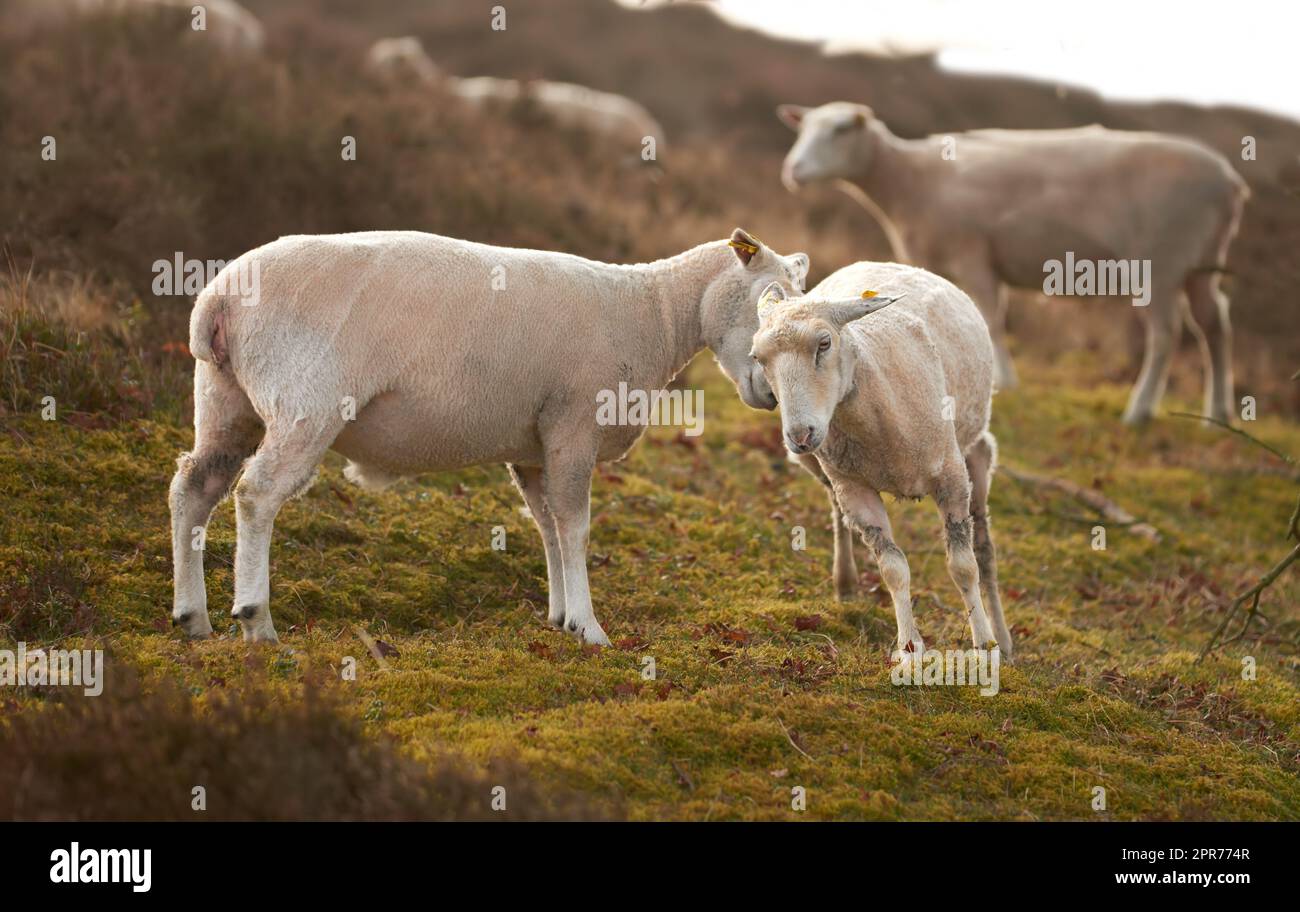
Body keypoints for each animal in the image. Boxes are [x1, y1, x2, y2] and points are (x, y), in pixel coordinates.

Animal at [169, 232, 806, 654]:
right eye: (770, 296)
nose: (771, 398)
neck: (652, 313)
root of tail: (217, 299)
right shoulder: (574, 424)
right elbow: (575, 528)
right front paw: (590, 628)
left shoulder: (533, 445)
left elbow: (547, 527)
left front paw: (561, 616)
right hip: (306, 402)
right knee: (257, 494)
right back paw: (256, 619)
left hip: (225, 400)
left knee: (194, 487)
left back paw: (192, 615)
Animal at [754, 261, 1013, 670]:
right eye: (758, 359)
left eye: (824, 343)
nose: (799, 434)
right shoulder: (854, 489)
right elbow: (893, 570)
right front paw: (909, 650)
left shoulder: (951, 478)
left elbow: (963, 566)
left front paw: (984, 647)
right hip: (822, 467)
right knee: (837, 513)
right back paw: (845, 582)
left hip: (974, 452)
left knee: (985, 550)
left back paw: (1002, 638)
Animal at [769, 102, 1248, 426]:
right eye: (803, 128)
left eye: (840, 129)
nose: (792, 170)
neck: (913, 179)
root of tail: (1230, 183)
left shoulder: (974, 254)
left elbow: (991, 319)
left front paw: (1004, 382)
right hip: (1201, 265)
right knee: (1216, 325)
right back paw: (1219, 412)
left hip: (1162, 262)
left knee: (1166, 334)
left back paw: (1140, 409)